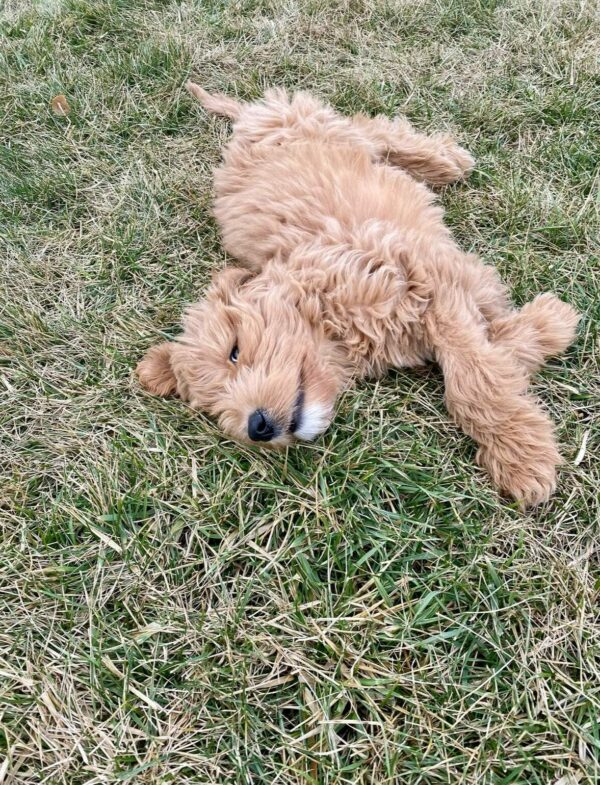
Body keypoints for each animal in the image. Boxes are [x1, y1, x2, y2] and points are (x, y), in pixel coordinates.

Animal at [138, 82, 580, 506]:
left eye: (234, 351)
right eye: (213, 406)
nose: (256, 426)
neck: (321, 306)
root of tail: (248, 116)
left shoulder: (422, 281)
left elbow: (474, 378)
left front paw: (521, 454)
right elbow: (492, 349)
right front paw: (544, 325)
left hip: (319, 126)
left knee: (372, 127)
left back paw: (443, 160)